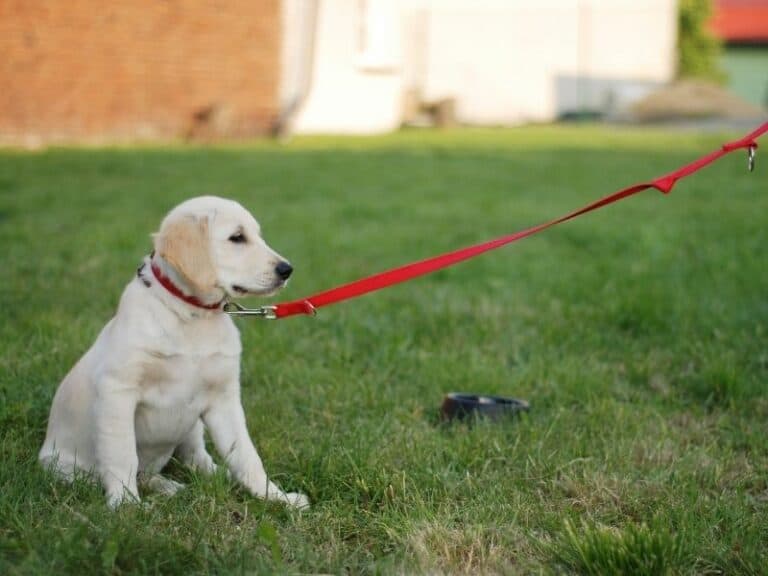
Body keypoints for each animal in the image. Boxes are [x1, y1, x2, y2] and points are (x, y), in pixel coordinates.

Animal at [38, 197, 308, 508]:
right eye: (237, 237)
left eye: (257, 235)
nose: (287, 269)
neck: (191, 314)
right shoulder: (117, 392)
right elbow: (122, 455)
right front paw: (127, 506)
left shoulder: (224, 399)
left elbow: (245, 455)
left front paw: (276, 497)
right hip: (61, 467)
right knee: (130, 472)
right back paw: (165, 487)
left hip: (192, 428)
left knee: (196, 459)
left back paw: (203, 480)